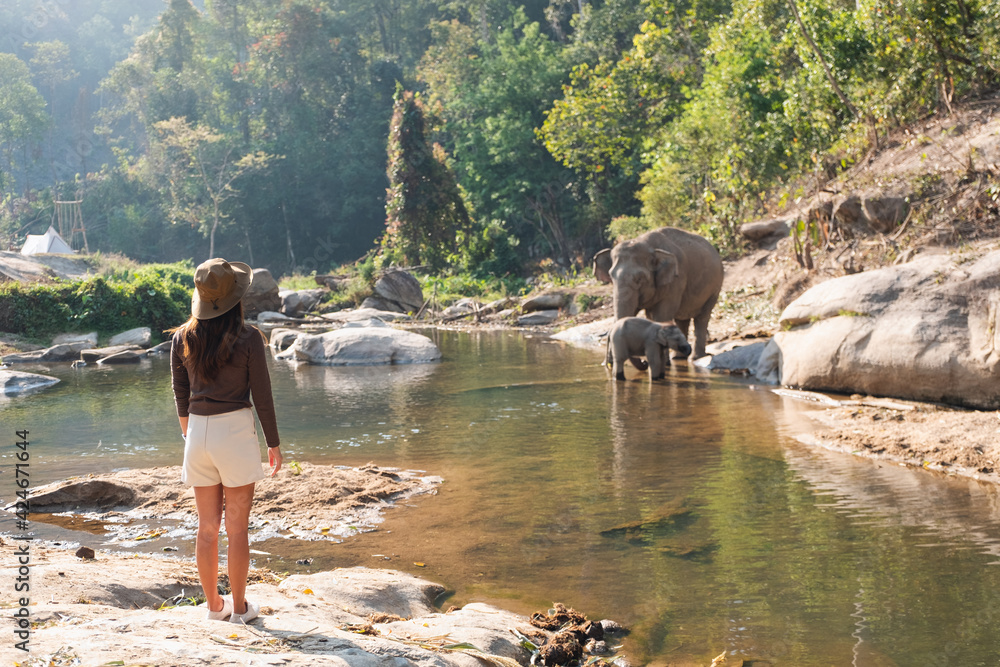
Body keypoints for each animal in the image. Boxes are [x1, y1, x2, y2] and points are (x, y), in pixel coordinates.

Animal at [593, 227, 724, 359]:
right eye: (611, 276)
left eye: (640, 278)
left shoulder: (676, 280)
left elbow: (661, 315)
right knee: (682, 320)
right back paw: (678, 357)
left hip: (715, 287)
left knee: (702, 317)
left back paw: (697, 357)